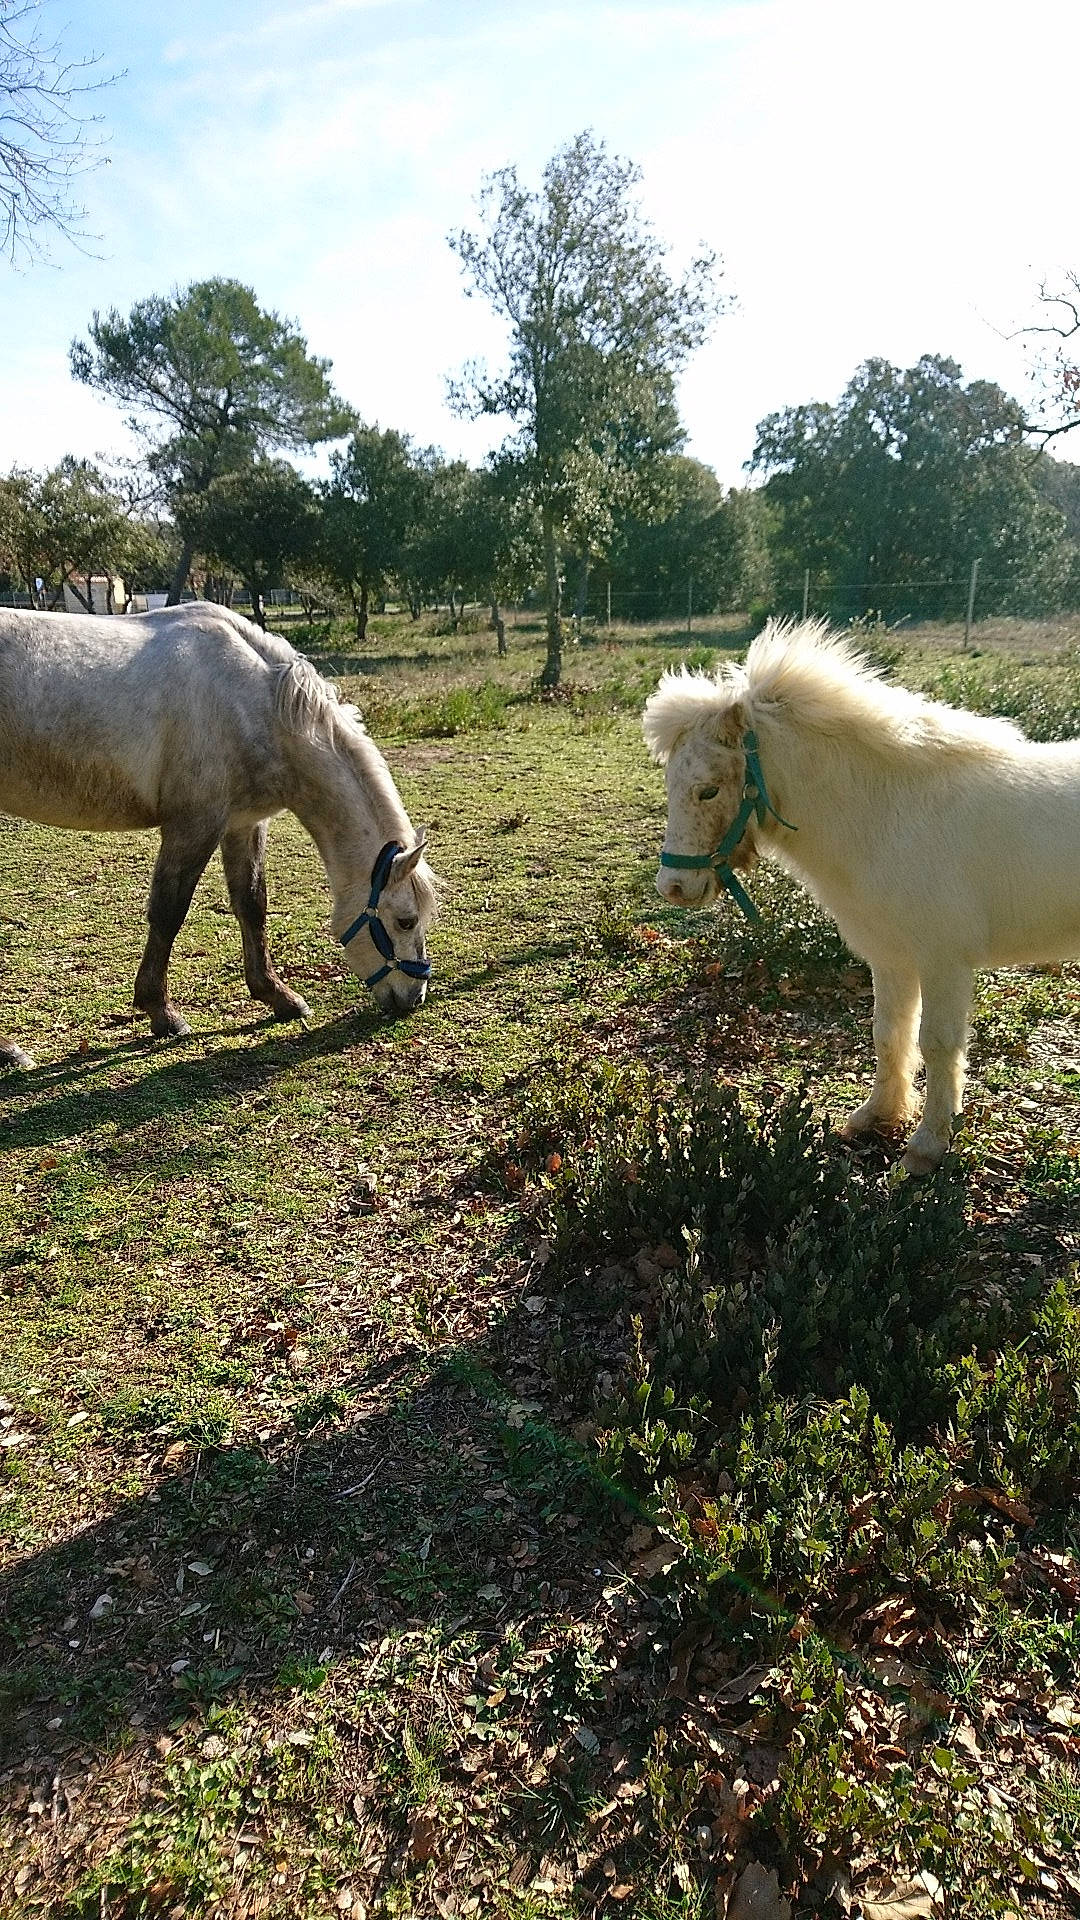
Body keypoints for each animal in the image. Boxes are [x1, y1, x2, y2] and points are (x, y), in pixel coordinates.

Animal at [0, 603, 437, 1069]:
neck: (254, 704)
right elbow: (169, 912)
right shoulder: (195, 824)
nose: (413, 998)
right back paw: (9, 1050)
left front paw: (278, 997)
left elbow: (252, 905)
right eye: (405, 920)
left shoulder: (242, 824)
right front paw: (162, 1012)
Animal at [643, 617, 1080, 1173]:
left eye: (708, 790)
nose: (674, 887)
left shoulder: (944, 960)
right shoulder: (891, 957)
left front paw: (926, 1147)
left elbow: (938, 1044)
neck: (891, 816)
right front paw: (878, 1116)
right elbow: (889, 1034)